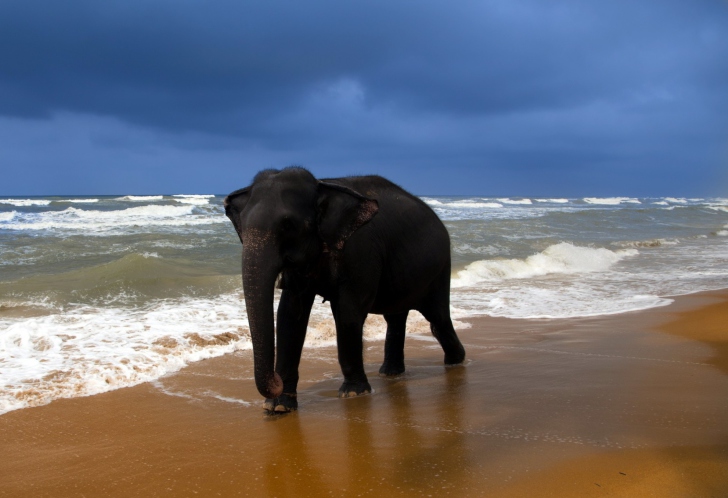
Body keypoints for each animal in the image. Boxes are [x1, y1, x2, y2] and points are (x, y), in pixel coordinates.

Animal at [223, 167, 466, 412]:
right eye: (242, 226)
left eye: (288, 225)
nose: (276, 381)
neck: (323, 185)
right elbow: (289, 315)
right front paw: (278, 407)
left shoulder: (360, 251)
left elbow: (348, 313)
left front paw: (353, 393)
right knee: (396, 317)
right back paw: (390, 373)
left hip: (440, 268)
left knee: (437, 318)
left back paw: (456, 362)